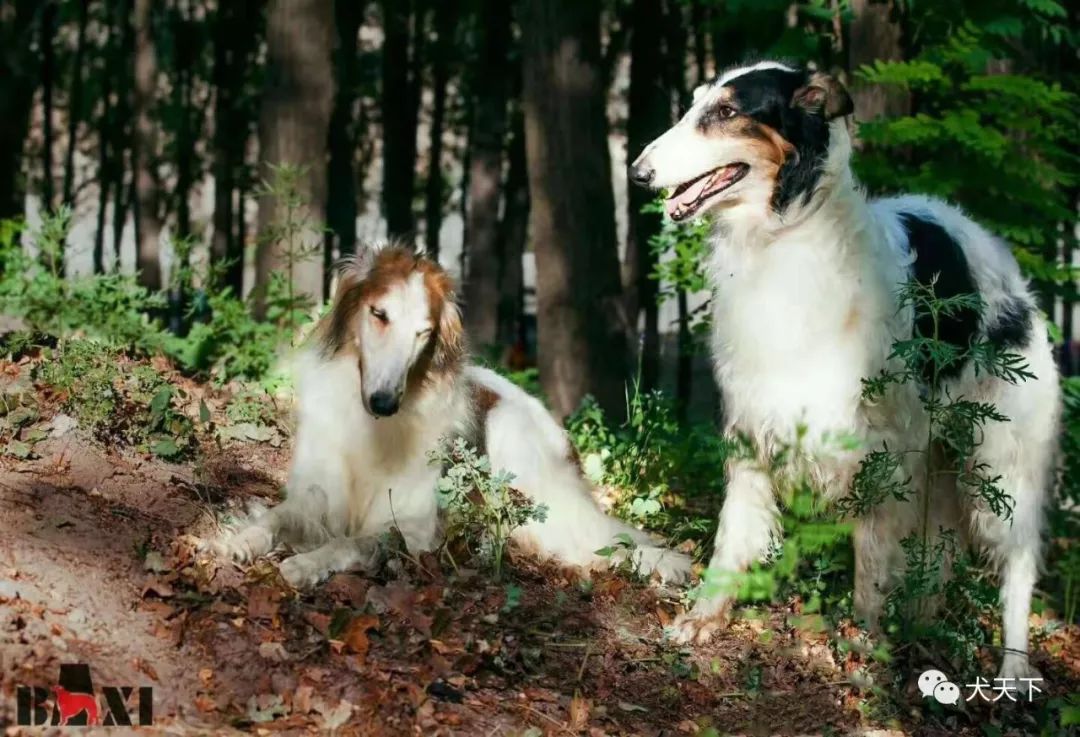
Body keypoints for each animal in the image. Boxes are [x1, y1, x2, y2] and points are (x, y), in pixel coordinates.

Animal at [210, 244, 691, 587]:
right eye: (379, 313)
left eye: (423, 332)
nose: (384, 403)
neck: (374, 428)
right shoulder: (319, 492)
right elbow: (277, 515)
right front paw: (240, 540)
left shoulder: (414, 525)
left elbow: (354, 541)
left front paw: (305, 564)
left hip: (515, 447)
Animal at [630, 60, 1058, 678]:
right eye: (694, 104)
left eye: (728, 112)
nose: (638, 173)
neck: (782, 242)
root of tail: (990, 246)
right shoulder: (751, 427)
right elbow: (733, 536)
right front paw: (702, 619)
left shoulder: (880, 453)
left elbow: (871, 561)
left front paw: (860, 651)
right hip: (942, 461)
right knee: (941, 554)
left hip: (1002, 463)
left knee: (1017, 565)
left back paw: (1012, 670)